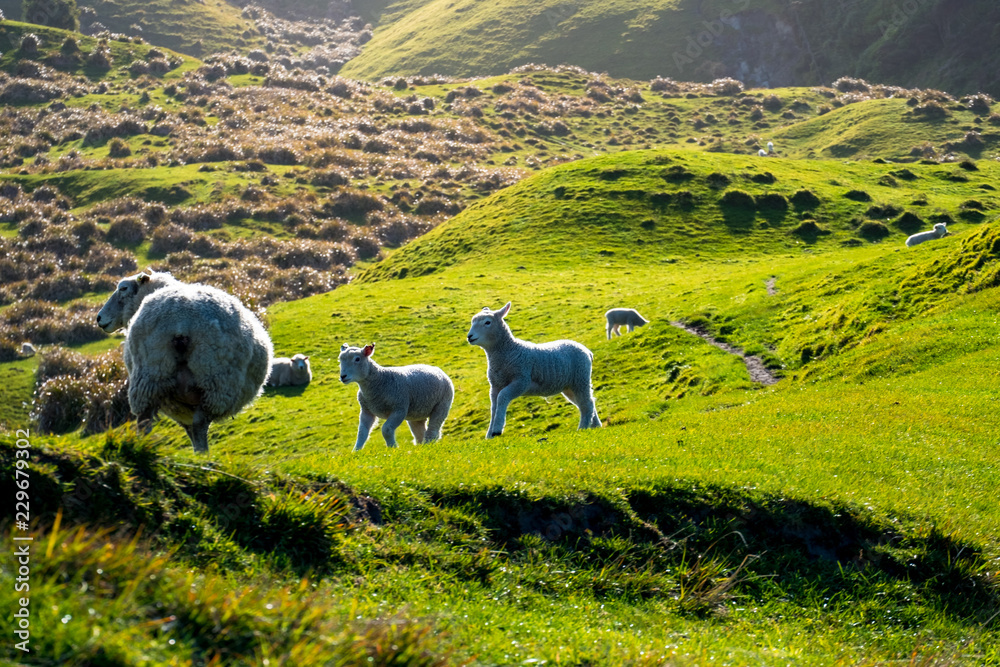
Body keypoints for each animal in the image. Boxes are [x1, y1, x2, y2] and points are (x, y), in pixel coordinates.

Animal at [96, 269, 273, 454]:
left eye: (123, 288)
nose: (99, 318)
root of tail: (181, 321)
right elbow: (191, 430)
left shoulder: (177, 405)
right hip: (213, 382)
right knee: (198, 423)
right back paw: (201, 455)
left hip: (152, 373)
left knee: (147, 420)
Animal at [467, 302, 601, 439]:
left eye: (487, 322)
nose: (469, 337)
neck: (508, 351)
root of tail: (587, 351)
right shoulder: (495, 386)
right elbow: (494, 408)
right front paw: (489, 435)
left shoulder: (522, 380)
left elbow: (502, 397)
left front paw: (497, 429)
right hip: (570, 385)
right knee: (586, 402)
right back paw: (595, 426)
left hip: (580, 378)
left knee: (587, 404)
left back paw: (583, 428)